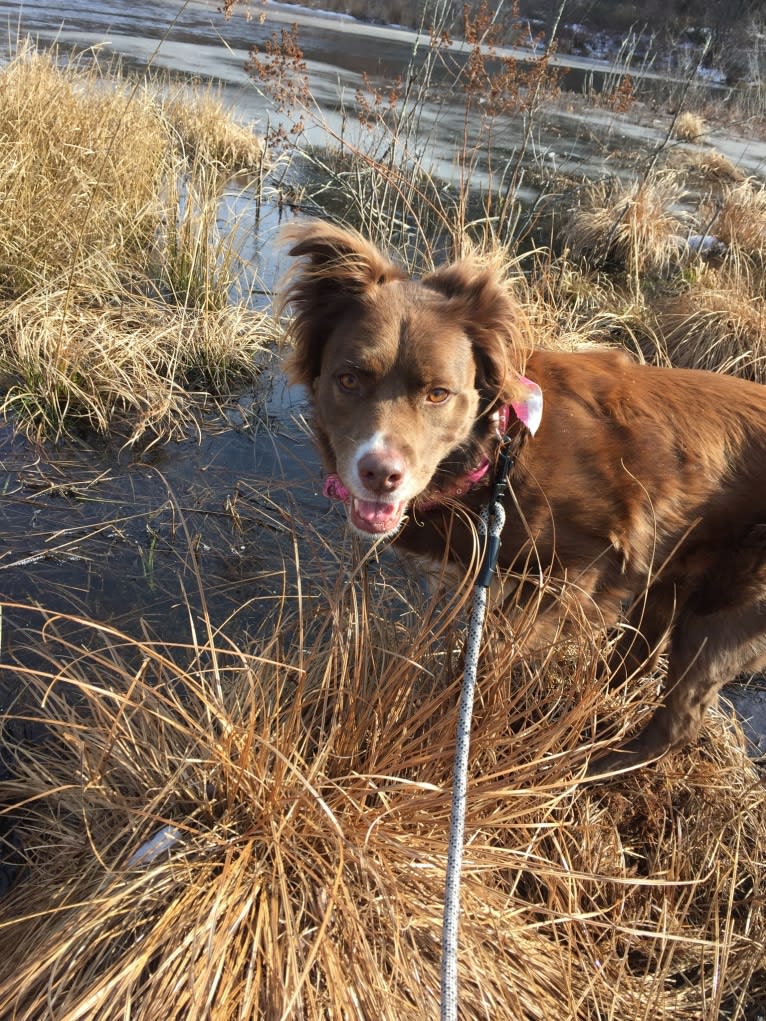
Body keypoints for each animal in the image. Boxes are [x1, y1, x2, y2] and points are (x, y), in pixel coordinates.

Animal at [279, 219, 766, 767]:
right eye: (348, 379)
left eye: (438, 394)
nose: (381, 474)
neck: (494, 451)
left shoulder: (582, 570)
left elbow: (489, 651)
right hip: (670, 577)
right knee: (634, 660)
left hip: (723, 613)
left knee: (677, 718)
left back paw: (588, 764)